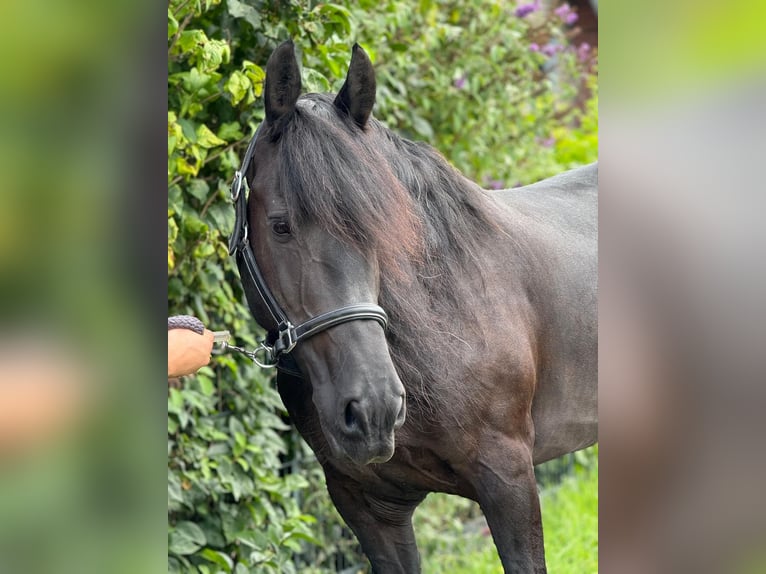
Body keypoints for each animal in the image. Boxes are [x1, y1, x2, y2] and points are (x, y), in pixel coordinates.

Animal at [234, 41, 600, 574]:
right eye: (280, 225)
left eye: (383, 225)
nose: (374, 408)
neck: (442, 316)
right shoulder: (370, 506)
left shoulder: (509, 480)